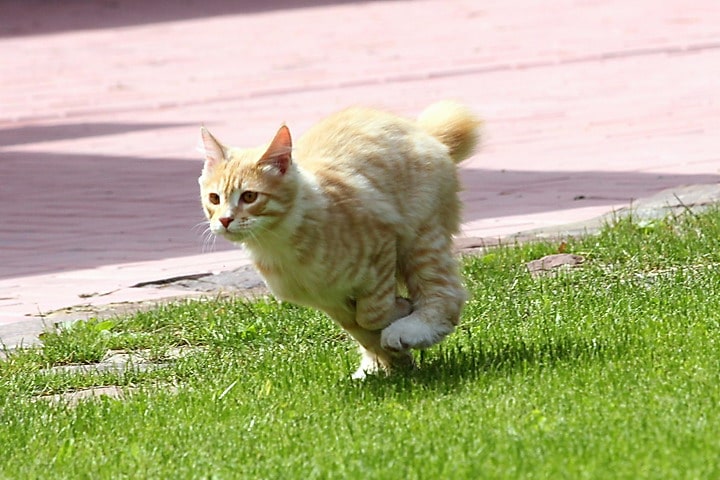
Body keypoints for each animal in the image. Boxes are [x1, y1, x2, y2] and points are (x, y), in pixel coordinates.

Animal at [198, 102, 478, 378]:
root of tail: (423, 132)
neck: (278, 244)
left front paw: (399, 315)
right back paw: (373, 367)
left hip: (421, 238)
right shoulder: (329, 299)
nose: (225, 220)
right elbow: (360, 329)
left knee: (444, 294)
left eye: (249, 197)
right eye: (214, 199)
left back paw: (412, 329)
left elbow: (371, 315)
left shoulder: (382, 245)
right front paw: (393, 361)